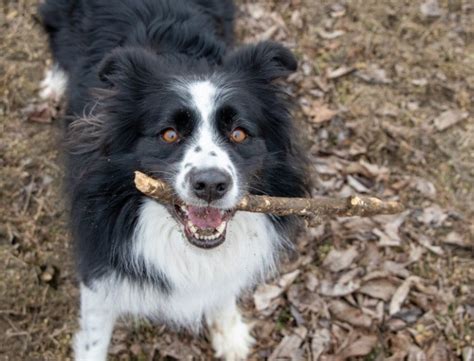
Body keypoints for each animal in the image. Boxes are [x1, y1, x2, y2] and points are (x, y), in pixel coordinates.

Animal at [39, 1, 310, 358]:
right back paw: (55, 84)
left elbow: (222, 283)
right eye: (169, 134)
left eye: (239, 133)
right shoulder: (99, 260)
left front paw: (229, 334)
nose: (210, 185)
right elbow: (94, 338)